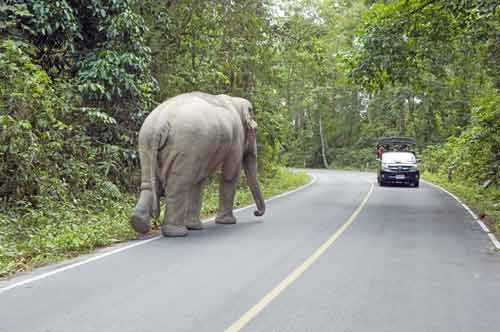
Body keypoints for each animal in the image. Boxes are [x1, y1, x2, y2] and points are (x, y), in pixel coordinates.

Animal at [131, 91, 268, 236]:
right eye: (256, 130)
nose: (256, 212)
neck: (235, 102)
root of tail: (160, 123)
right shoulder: (236, 138)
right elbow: (230, 175)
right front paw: (227, 222)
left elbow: (199, 181)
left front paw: (194, 227)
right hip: (184, 146)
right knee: (177, 185)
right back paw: (177, 233)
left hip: (146, 142)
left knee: (149, 184)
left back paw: (138, 222)